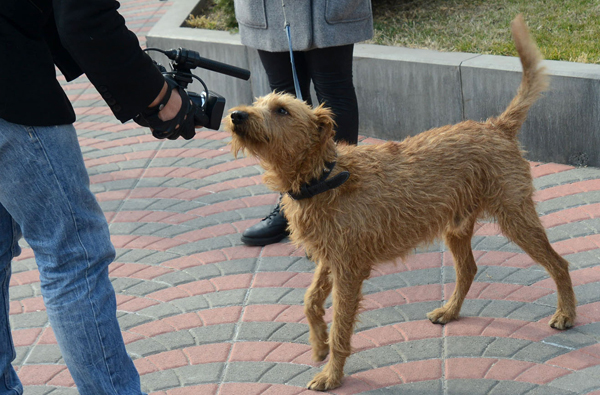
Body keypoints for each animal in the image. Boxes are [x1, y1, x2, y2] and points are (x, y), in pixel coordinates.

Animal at [224, 14, 576, 392]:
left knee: (559, 264)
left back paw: (566, 313)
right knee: (468, 269)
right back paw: (450, 311)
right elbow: (310, 301)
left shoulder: (349, 268)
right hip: (456, 228)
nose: (236, 115)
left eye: (281, 110)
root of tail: (496, 127)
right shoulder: (329, 257)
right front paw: (317, 344)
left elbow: (341, 327)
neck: (322, 176)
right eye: (259, 103)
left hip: (516, 217)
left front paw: (332, 373)